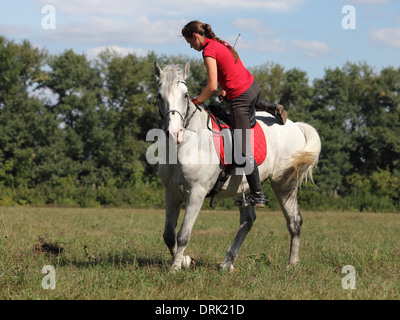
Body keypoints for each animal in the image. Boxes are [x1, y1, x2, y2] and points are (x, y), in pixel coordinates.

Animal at [152, 61, 320, 272]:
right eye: (159, 96)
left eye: (185, 95)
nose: (174, 132)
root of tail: (294, 126)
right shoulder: (172, 193)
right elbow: (168, 234)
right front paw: (185, 260)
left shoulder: (196, 193)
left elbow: (183, 234)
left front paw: (175, 268)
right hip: (246, 187)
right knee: (248, 221)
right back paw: (227, 262)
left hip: (284, 184)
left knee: (294, 221)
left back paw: (292, 263)